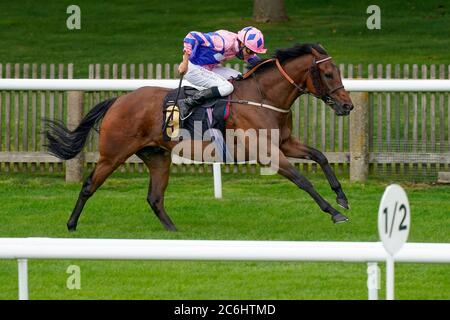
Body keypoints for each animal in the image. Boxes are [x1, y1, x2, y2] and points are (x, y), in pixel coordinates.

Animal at [45, 43, 356, 231]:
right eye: (328, 73)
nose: (347, 106)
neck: (263, 97)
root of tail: (118, 101)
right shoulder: (267, 152)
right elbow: (303, 181)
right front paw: (334, 212)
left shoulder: (284, 143)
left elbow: (320, 156)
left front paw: (342, 198)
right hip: (113, 153)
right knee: (89, 186)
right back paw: (71, 224)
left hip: (157, 156)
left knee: (154, 197)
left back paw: (174, 231)